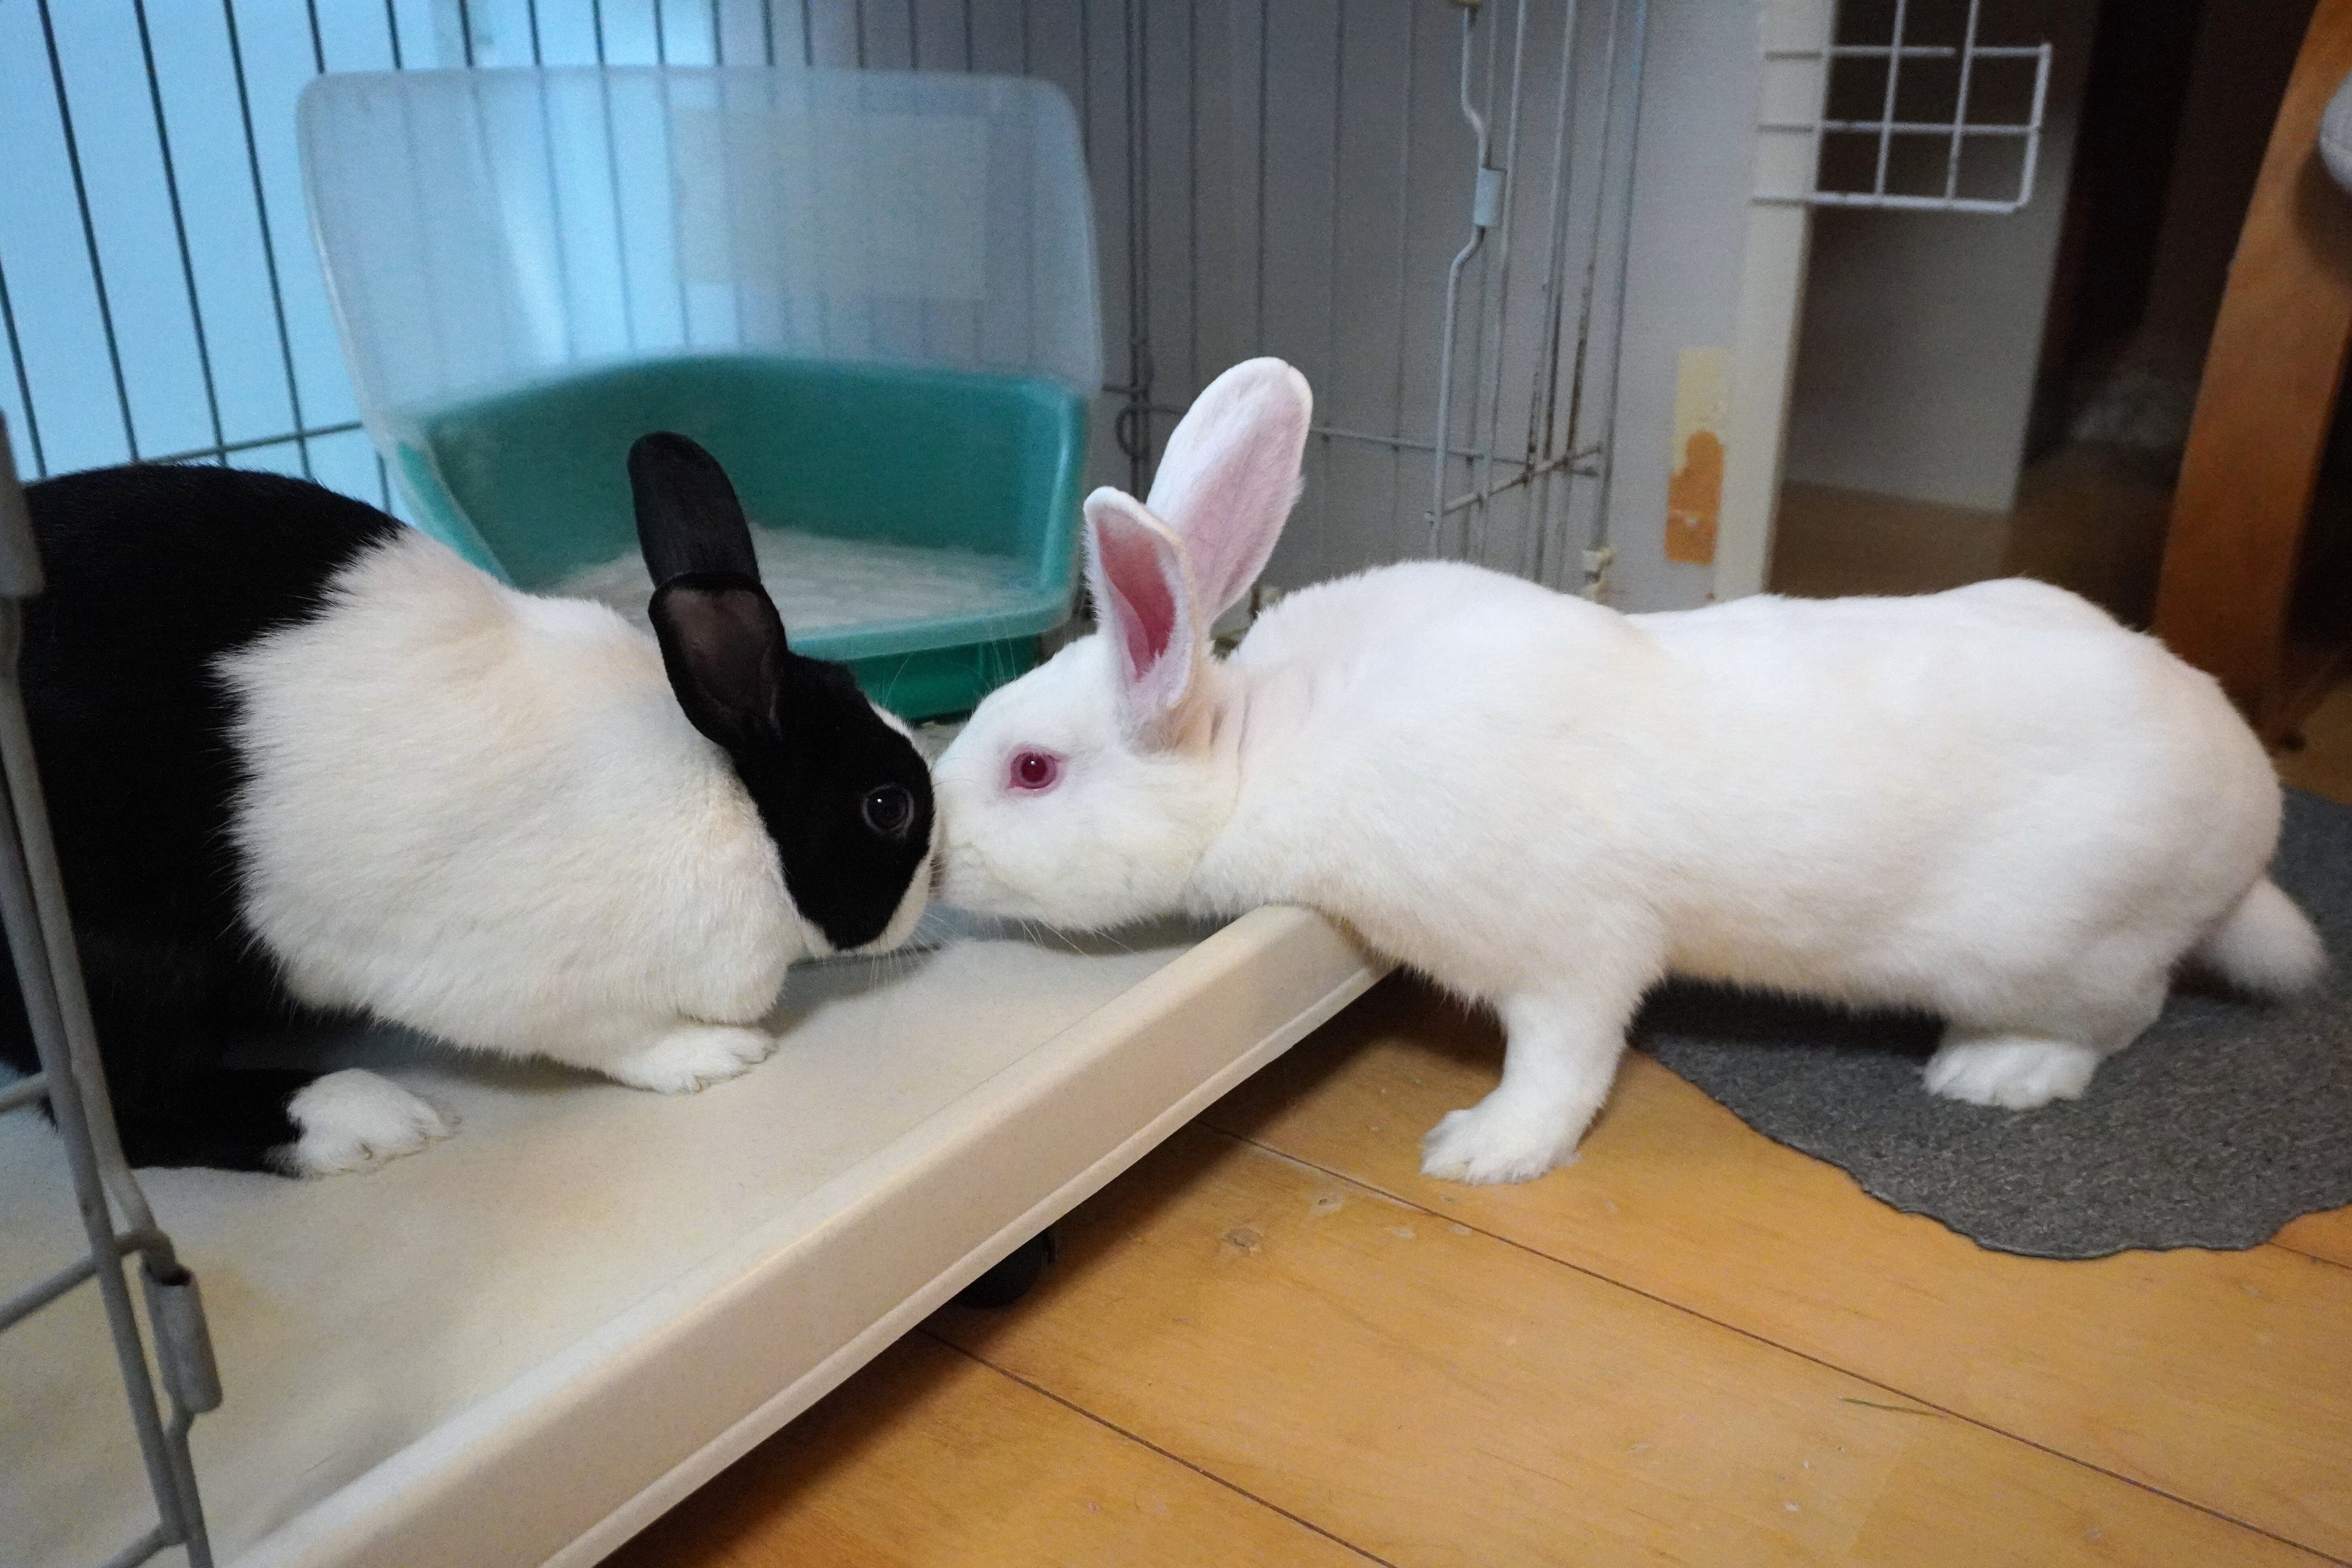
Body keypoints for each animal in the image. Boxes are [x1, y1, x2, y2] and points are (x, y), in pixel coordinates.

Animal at [0, 433, 934, 1177]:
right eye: (887, 807)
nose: (937, 880)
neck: (730, 803)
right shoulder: (535, 985)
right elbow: (618, 1039)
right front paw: (714, 1056)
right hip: (121, 967)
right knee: (126, 1109)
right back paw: (369, 1119)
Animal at [932, 358, 2325, 1185]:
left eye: (1033, 769)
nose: (934, 854)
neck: (1270, 740)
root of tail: (2252, 819)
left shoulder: (1566, 949)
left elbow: (1563, 1060)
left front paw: (1478, 1151)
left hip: (2057, 947)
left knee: (2120, 1016)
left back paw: (1995, 1072)